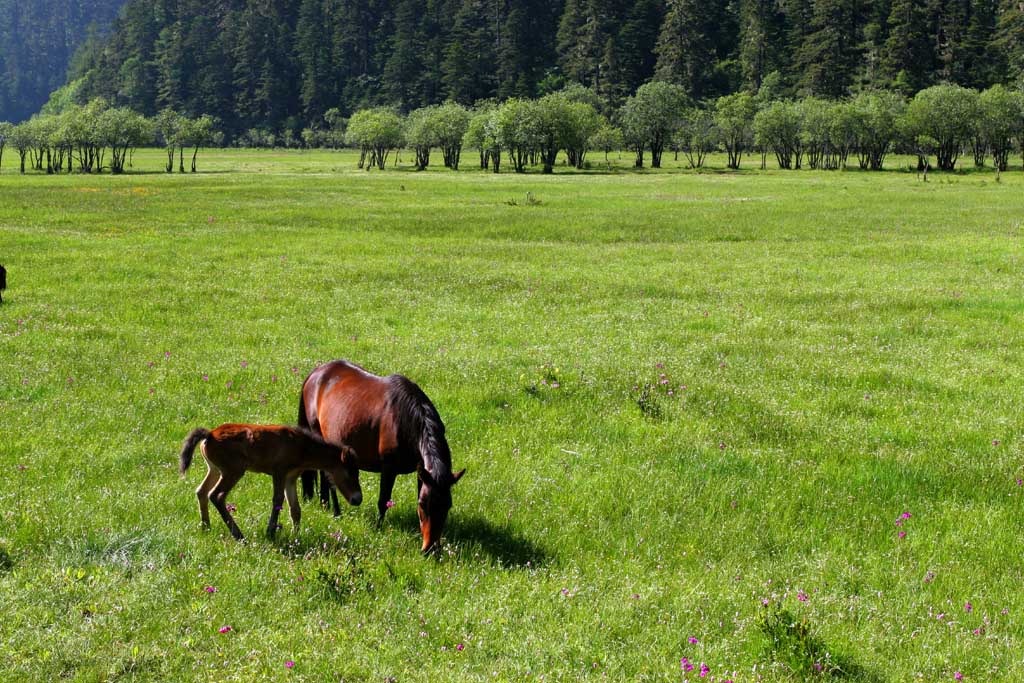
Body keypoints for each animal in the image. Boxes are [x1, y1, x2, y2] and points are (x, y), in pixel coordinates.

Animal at [178, 421, 362, 540]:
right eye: (349, 473)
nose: (357, 499)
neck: (302, 447)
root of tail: (209, 435)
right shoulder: (279, 471)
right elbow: (278, 500)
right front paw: (271, 532)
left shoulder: (290, 478)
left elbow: (295, 509)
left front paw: (296, 535)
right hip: (233, 470)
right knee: (216, 495)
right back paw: (238, 535)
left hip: (215, 469)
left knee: (201, 491)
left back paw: (206, 527)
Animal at [299, 360, 466, 552]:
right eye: (423, 505)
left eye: (447, 506)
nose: (430, 548)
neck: (407, 420)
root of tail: (316, 373)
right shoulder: (388, 468)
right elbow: (383, 500)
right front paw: (378, 529)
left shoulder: (422, 472)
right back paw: (336, 511)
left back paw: (324, 503)